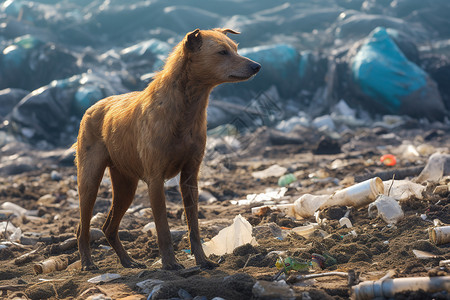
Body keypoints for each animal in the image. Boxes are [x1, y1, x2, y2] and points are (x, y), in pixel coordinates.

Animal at [74, 28, 260, 270]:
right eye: (222, 52)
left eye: (236, 49)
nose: (257, 66)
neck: (185, 106)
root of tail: (92, 107)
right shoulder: (155, 180)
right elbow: (163, 228)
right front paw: (170, 263)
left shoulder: (190, 177)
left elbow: (194, 227)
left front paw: (202, 260)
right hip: (89, 180)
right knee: (82, 227)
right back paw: (88, 263)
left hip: (126, 184)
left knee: (109, 227)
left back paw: (128, 261)